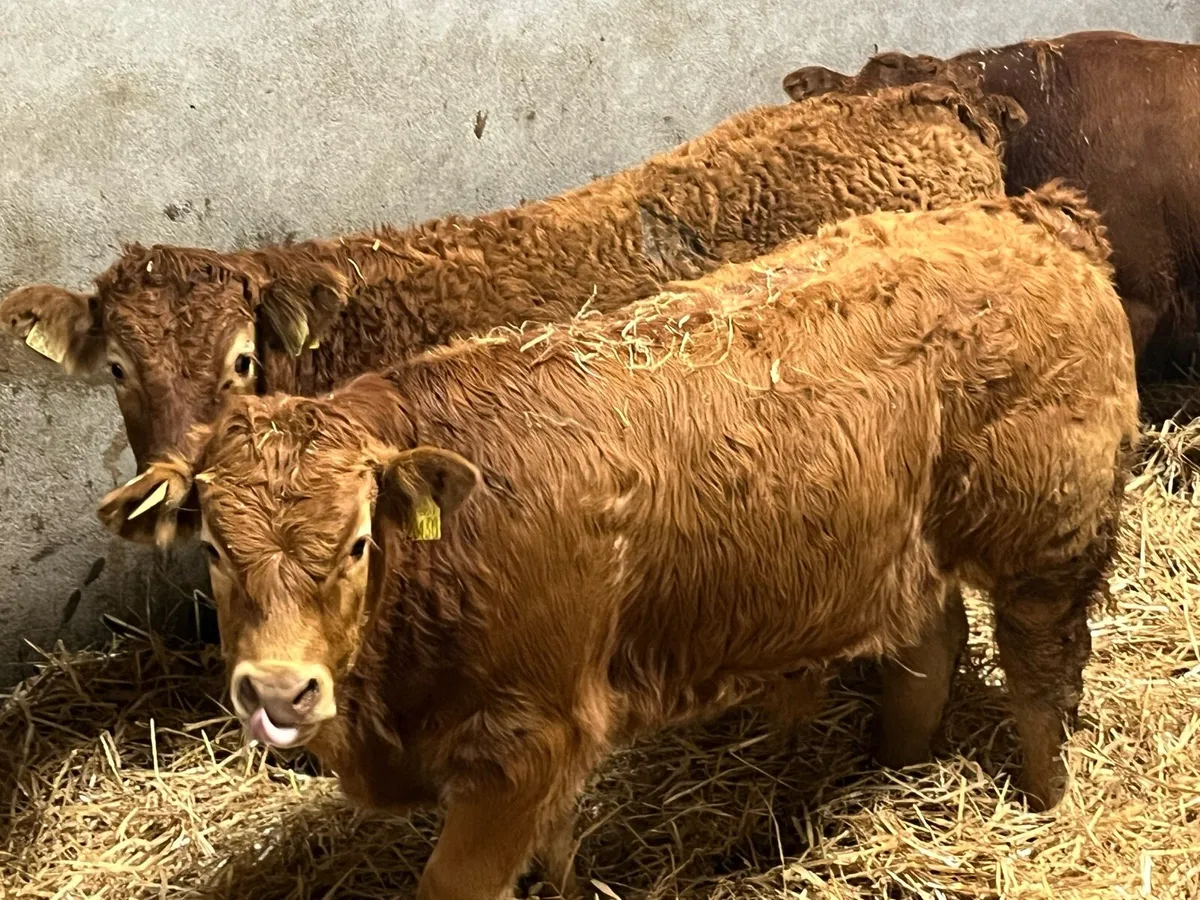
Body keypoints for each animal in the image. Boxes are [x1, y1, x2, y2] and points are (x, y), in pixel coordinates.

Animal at [98, 183, 1138, 898]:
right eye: (216, 548)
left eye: (357, 543)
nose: (278, 691)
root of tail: (1028, 216)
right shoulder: (554, 746)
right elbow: (556, 853)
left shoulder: (523, 744)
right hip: (903, 549)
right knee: (932, 640)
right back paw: (893, 766)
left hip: (1050, 538)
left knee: (1042, 672)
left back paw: (1045, 801)